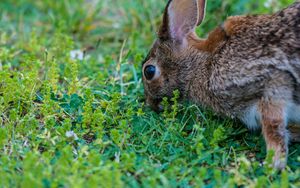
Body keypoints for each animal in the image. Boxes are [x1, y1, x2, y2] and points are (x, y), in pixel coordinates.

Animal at [142, 0, 300, 170]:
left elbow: (274, 129)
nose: (150, 104)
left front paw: (271, 164)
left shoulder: (273, 83)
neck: (203, 64)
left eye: (149, 71)